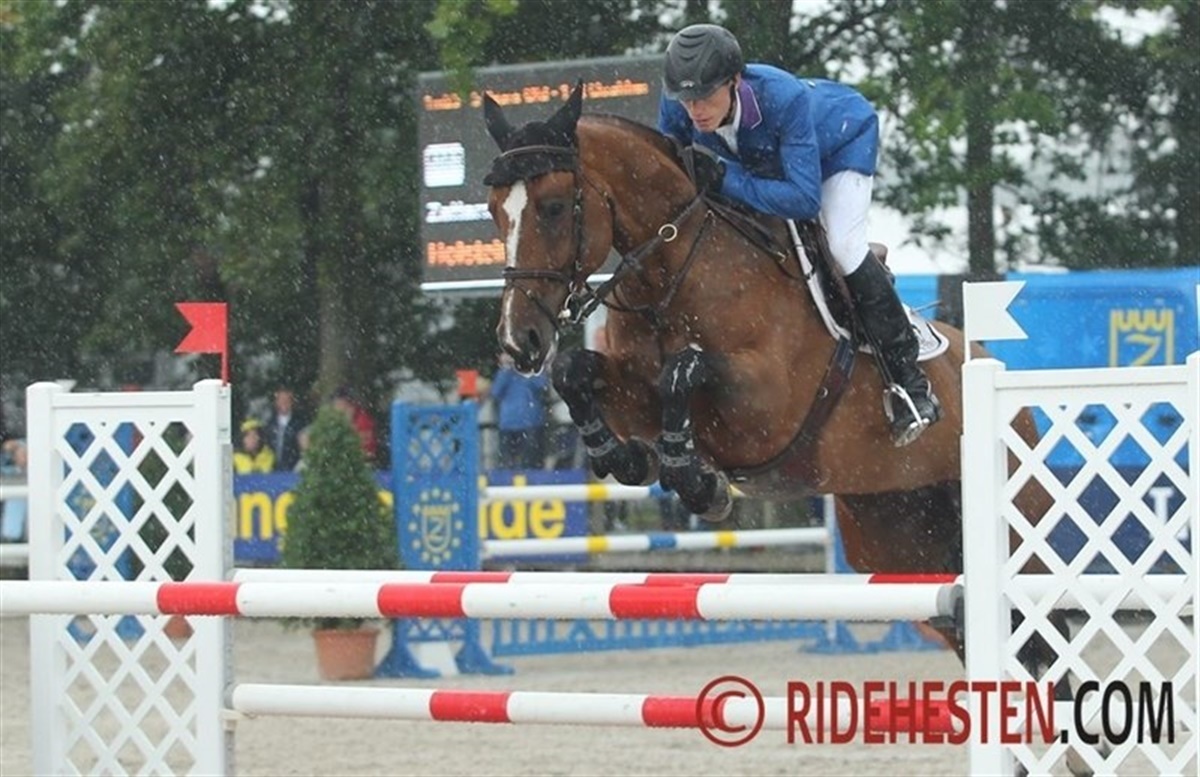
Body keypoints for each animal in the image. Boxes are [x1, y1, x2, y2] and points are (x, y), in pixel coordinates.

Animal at [480, 86, 1095, 769]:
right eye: (494, 213)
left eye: (555, 207)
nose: (518, 342)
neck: (672, 268)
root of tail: (1000, 379)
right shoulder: (628, 389)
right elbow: (577, 372)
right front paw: (628, 459)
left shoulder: (765, 406)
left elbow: (685, 371)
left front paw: (699, 482)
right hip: (903, 544)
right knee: (986, 636)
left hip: (1015, 535)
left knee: (1045, 641)